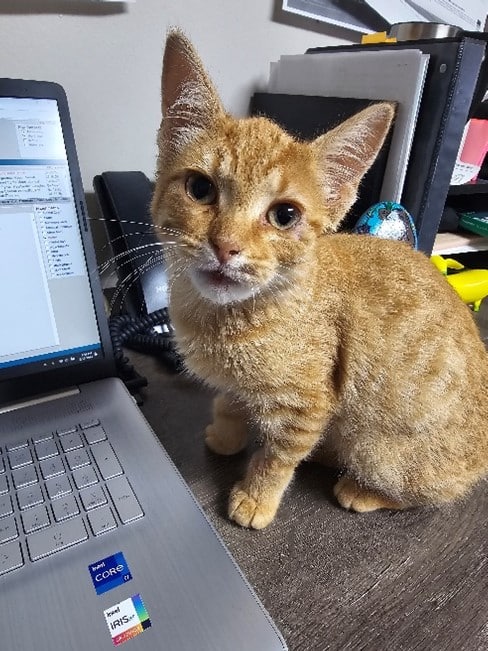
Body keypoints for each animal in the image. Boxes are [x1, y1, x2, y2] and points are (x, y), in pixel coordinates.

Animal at [151, 31, 486, 528]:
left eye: (285, 215)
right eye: (200, 189)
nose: (226, 246)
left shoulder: (306, 405)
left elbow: (278, 457)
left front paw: (256, 497)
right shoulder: (238, 386)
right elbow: (230, 401)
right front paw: (226, 435)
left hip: (381, 452)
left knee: (429, 491)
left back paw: (359, 489)